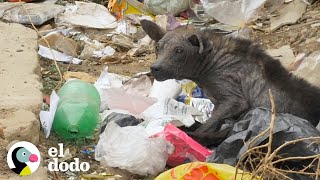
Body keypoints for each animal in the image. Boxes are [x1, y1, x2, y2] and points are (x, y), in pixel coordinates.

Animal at [141, 20, 320, 146]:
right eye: (157, 47)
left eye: (179, 50)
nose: (155, 68)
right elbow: (212, 123)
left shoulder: (234, 100)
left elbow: (207, 125)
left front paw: (190, 136)